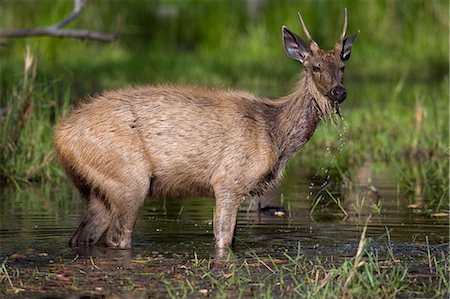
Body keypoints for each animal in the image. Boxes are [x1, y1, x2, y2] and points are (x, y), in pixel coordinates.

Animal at [54, 9, 358, 254]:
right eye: (315, 67)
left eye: (342, 66)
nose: (339, 92)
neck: (275, 135)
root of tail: (60, 136)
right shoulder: (229, 180)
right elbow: (223, 240)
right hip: (129, 178)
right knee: (117, 238)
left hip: (97, 187)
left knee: (81, 237)